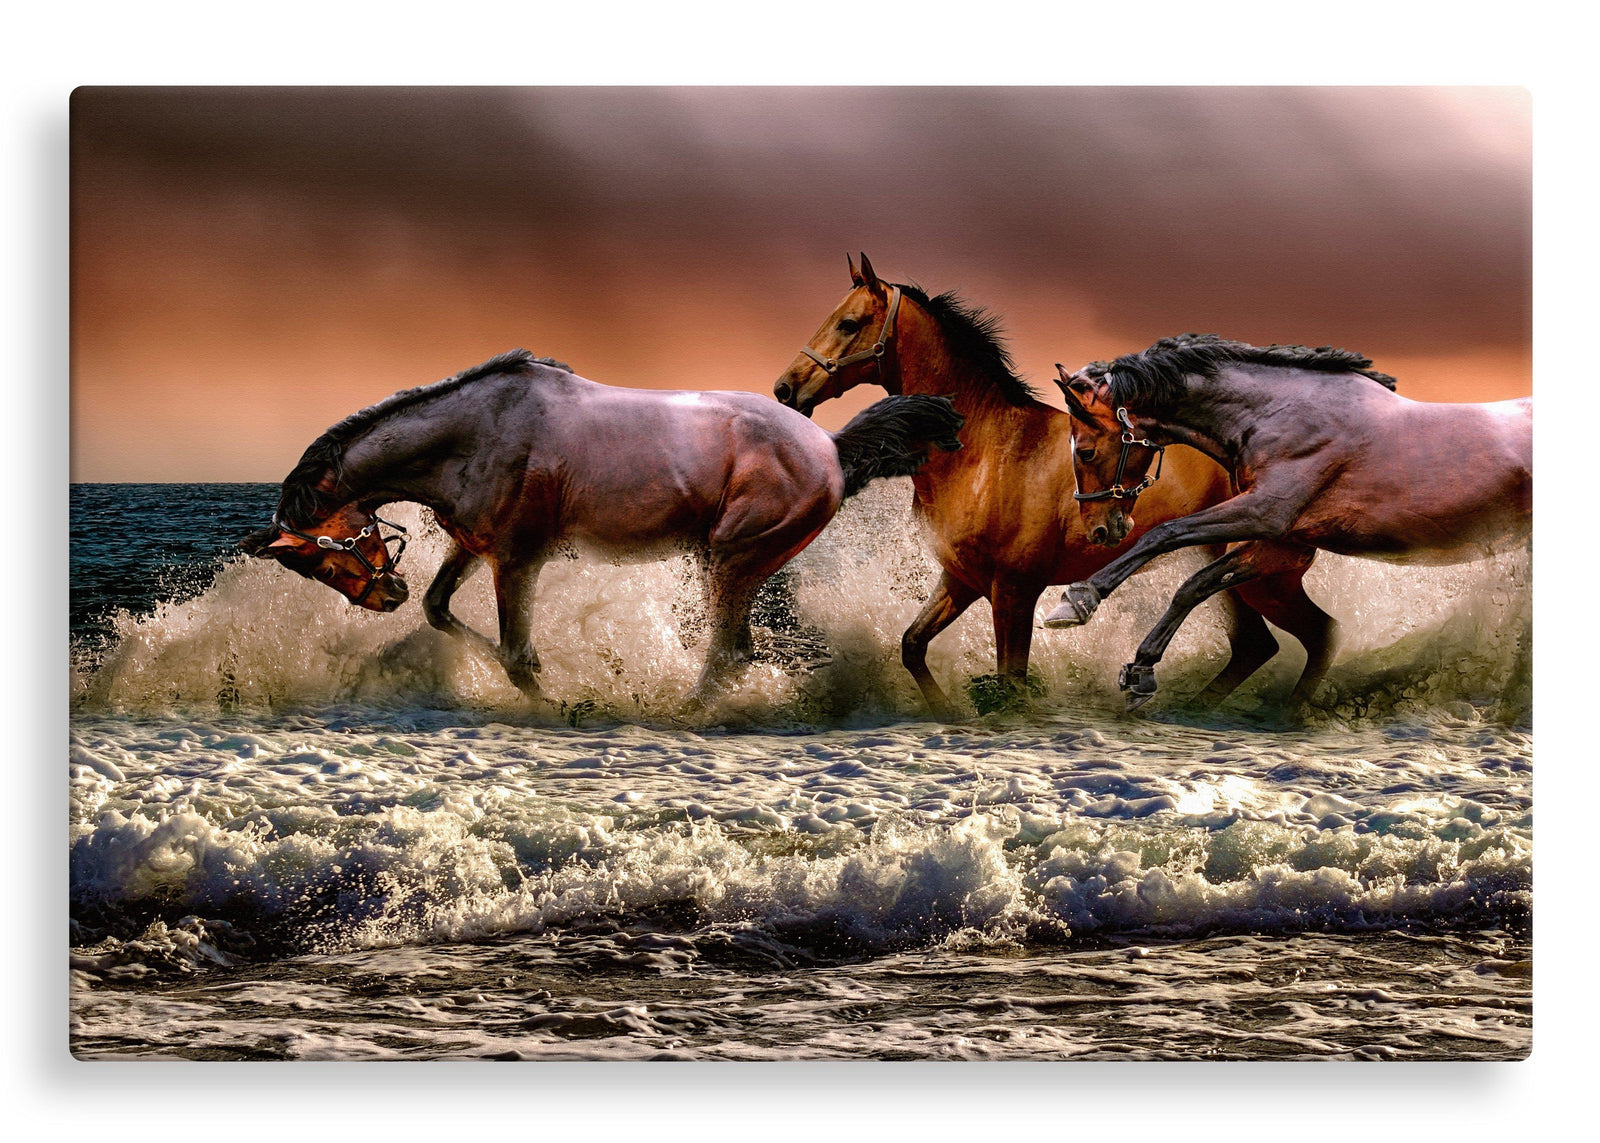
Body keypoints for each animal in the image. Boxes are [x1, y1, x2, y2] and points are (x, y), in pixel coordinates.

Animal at [241, 349, 964, 710]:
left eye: (323, 551)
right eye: (311, 566)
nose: (382, 596)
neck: (474, 433)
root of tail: (832, 448)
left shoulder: (518, 559)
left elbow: (516, 654)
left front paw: (561, 702)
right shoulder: (472, 547)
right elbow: (440, 609)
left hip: (731, 559)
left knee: (728, 654)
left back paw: (678, 715)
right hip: (733, 565)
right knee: (735, 652)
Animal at [774, 253, 1338, 717]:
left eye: (848, 323)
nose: (785, 388)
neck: (987, 452)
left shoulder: (1014, 591)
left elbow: (1011, 683)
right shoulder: (961, 581)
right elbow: (912, 645)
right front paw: (945, 713)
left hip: (1262, 577)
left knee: (1314, 636)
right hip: (1235, 577)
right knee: (1258, 645)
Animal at [1043, 334, 1532, 711]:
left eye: (1086, 450)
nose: (1102, 529)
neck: (1277, 414)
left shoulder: (1264, 512)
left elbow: (1166, 535)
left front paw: (1076, 602)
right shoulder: (1281, 544)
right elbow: (1196, 584)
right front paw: (1140, 672)